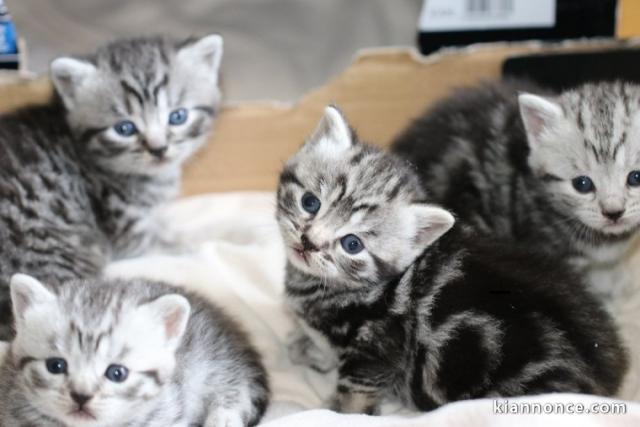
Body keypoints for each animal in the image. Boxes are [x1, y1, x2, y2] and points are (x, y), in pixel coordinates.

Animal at [0, 35, 225, 340]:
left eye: (178, 116)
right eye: (125, 129)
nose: (159, 149)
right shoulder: (129, 234)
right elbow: (182, 241)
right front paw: (233, 235)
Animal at [278, 106, 628, 414]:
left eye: (352, 244)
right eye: (310, 202)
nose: (309, 242)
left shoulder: (374, 350)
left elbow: (354, 394)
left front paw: (336, 412)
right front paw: (307, 346)